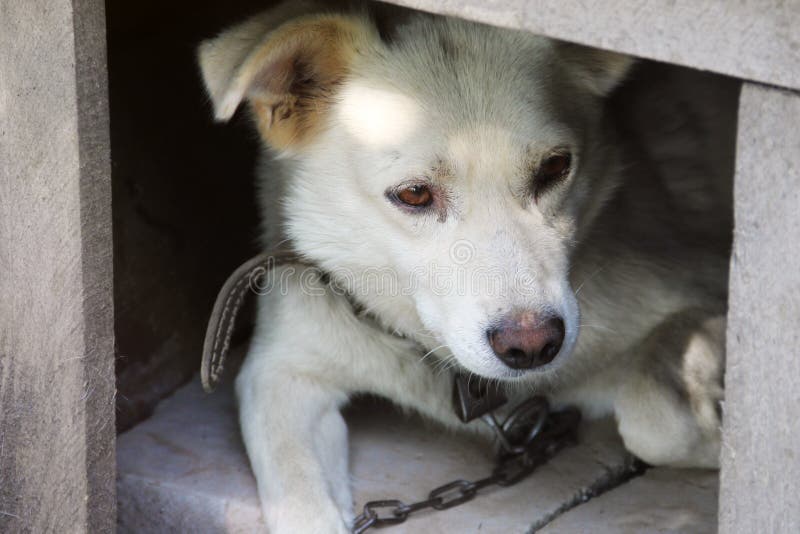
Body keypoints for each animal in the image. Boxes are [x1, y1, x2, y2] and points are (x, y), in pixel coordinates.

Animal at [198, 2, 736, 532]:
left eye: (555, 167)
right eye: (414, 194)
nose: (532, 346)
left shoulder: (707, 290)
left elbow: (653, 419)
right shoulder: (279, 373)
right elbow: (298, 500)